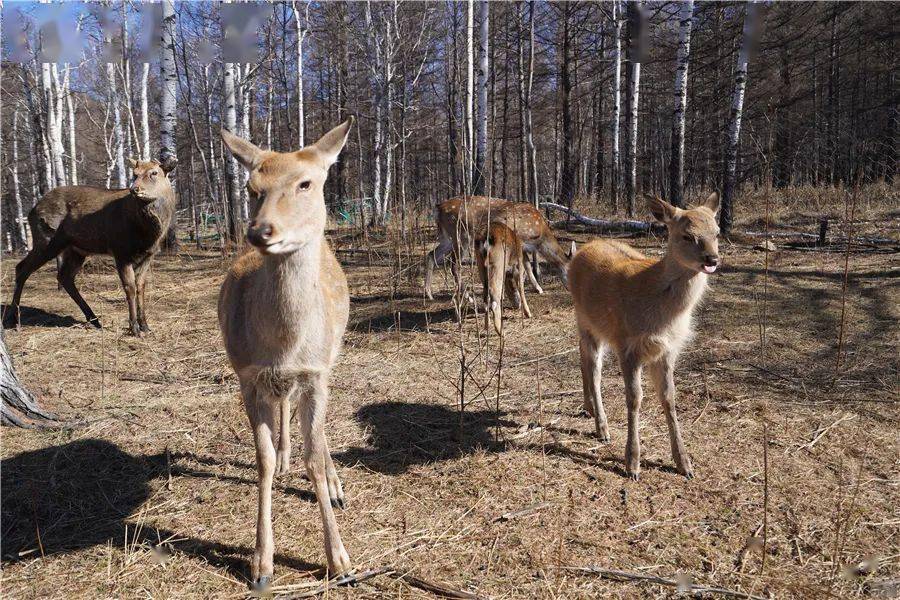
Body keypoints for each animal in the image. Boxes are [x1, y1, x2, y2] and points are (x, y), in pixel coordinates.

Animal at [5, 158, 177, 338]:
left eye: (154, 173)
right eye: (134, 174)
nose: (134, 189)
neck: (148, 234)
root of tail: (31, 211)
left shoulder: (148, 255)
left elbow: (141, 287)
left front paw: (145, 326)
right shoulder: (120, 251)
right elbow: (129, 288)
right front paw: (134, 327)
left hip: (75, 250)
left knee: (64, 276)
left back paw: (93, 318)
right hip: (46, 239)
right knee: (22, 268)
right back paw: (13, 319)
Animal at [218, 118, 356, 592]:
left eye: (305, 183)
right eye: (251, 186)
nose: (261, 231)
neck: (284, 344)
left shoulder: (316, 371)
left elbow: (314, 456)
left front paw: (340, 561)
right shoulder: (246, 374)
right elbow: (260, 459)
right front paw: (261, 564)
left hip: (332, 357)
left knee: (313, 421)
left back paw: (334, 483)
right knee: (283, 405)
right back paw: (284, 458)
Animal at [424, 196, 568, 300]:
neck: (540, 235)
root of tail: (438, 209)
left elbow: (526, 265)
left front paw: (537, 289)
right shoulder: (520, 239)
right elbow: (524, 266)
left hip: (447, 237)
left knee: (431, 254)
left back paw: (429, 294)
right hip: (461, 235)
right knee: (454, 265)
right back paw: (468, 297)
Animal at [568, 195, 724, 480]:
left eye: (717, 232)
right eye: (687, 235)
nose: (712, 259)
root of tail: (580, 251)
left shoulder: (668, 350)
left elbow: (669, 397)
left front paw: (684, 464)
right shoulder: (627, 344)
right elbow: (634, 398)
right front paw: (632, 463)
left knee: (583, 358)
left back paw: (589, 409)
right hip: (585, 319)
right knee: (593, 369)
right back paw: (602, 428)